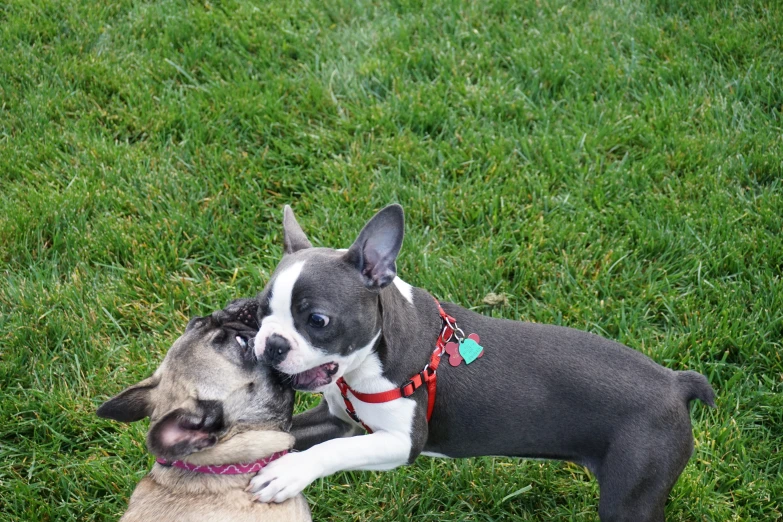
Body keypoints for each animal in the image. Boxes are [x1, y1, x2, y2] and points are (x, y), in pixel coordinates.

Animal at [247, 205, 716, 516]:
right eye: (259, 311)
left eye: (317, 320)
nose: (270, 344)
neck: (369, 361)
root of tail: (675, 383)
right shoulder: (337, 418)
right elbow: (285, 434)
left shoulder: (400, 442)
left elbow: (335, 451)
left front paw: (290, 472)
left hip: (631, 492)